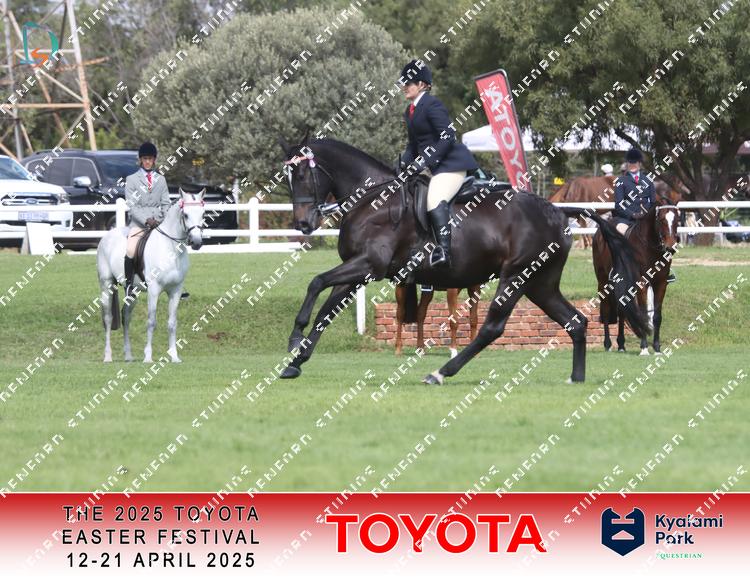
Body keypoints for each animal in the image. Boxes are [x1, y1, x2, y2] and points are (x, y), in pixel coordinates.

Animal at [96, 189, 205, 363]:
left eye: (203, 213)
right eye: (186, 214)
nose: (196, 242)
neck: (170, 250)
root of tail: (107, 236)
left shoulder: (175, 290)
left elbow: (172, 323)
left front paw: (174, 356)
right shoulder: (154, 290)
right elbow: (151, 321)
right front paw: (148, 356)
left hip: (132, 290)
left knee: (126, 316)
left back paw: (128, 356)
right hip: (106, 285)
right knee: (108, 318)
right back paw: (108, 356)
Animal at [277, 136, 648, 384]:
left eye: (301, 175)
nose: (303, 224)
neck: (373, 200)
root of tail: (557, 211)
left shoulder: (369, 265)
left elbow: (316, 282)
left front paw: (294, 339)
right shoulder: (358, 271)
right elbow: (325, 310)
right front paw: (297, 360)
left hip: (516, 276)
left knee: (493, 327)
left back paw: (441, 373)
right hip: (540, 282)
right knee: (575, 321)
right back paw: (576, 377)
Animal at [592, 202, 679, 355]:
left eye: (676, 221)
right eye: (661, 220)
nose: (671, 247)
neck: (650, 248)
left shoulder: (661, 284)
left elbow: (657, 317)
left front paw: (657, 348)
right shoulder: (642, 283)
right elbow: (643, 315)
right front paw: (644, 348)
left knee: (621, 311)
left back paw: (621, 345)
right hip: (603, 282)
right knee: (606, 310)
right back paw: (608, 345)